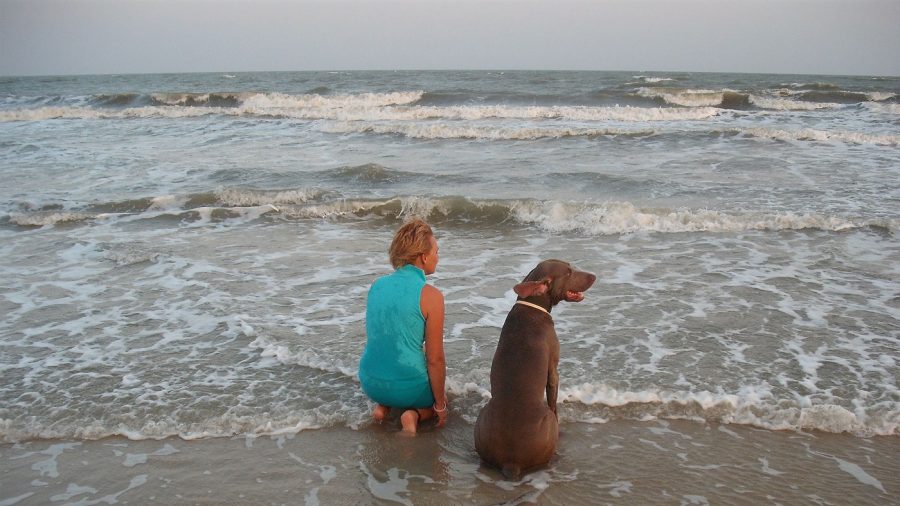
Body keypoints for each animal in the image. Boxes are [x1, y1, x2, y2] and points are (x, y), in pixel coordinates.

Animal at [472, 260, 596, 478]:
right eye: (568, 272)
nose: (594, 276)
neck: (532, 305)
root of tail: (511, 463)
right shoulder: (553, 369)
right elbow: (553, 398)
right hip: (547, 423)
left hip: (482, 419)